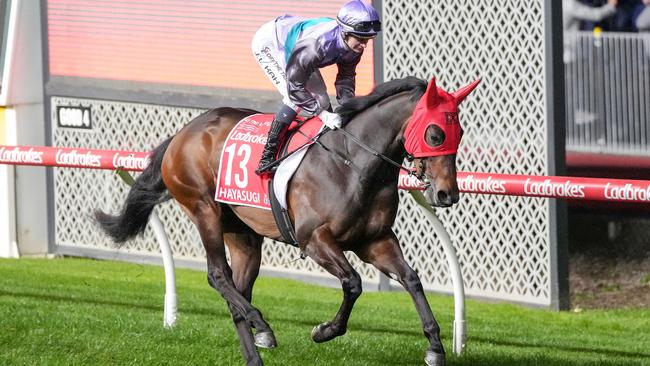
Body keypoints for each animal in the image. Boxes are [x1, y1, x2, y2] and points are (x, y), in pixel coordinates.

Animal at [97, 76, 480, 364]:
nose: (447, 194)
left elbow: (412, 279)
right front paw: (324, 331)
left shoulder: (376, 241)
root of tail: (183, 133)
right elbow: (353, 283)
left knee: (237, 289)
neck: (352, 163)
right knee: (218, 275)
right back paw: (261, 322)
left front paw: (435, 347)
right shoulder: (315, 240)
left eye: (459, 133)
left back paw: (255, 347)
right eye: (435, 133)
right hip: (203, 208)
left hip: (243, 233)